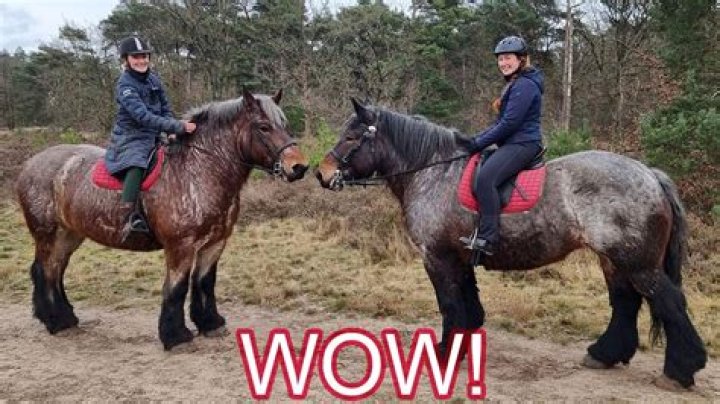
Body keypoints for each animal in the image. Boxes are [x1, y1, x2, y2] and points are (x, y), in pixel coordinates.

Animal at [15, 90, 309, 350]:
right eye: (263, 127)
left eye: (284, 124)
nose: (299, 167)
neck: (197, 171)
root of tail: (30, 164)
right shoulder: (181, 246)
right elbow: (176, 289)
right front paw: (176, 337)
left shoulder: (214, 243)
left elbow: (205, 282)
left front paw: (210, 323)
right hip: (47, 234)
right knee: (45, 270)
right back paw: (55, 321)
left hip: (69, 234)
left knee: (56, 270)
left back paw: (65, 318)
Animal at [315, 98, 707, 389]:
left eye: (352, 137)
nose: (321, 173)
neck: (434, 172)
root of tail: (650, 174)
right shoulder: (459, 258)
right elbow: (469, 306)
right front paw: (463, 348)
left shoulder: (437, 258)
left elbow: (450, 306)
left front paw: (443, 354)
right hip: (614, 260)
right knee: (625, 302)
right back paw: (605, 354)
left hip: (638, 262)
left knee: (669, 302)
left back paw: (680, 371)